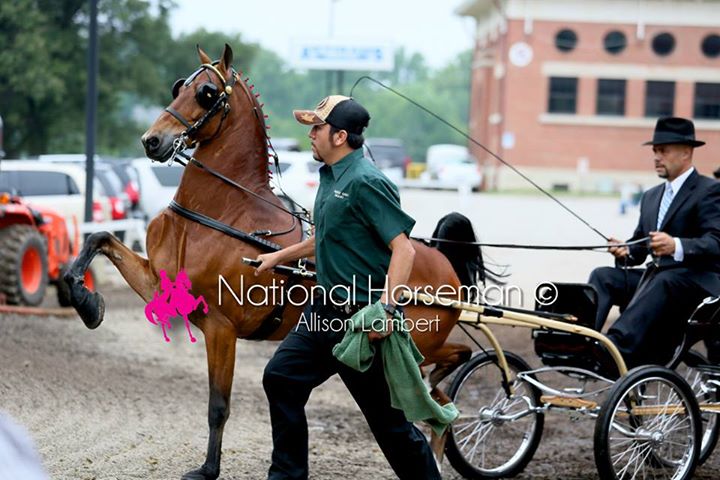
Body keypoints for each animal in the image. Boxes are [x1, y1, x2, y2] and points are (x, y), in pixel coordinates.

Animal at [63, 43, 490, 478]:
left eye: (205, 92)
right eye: (178, 86)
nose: (152, 140)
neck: (220, 212)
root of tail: (440, 259)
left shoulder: (220, 328)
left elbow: (218, 406)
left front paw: (208, 468)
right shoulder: (159, 283)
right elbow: (99, 238)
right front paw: (87, 302)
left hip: (419, 341)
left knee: (451, 374)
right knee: (438, 402)